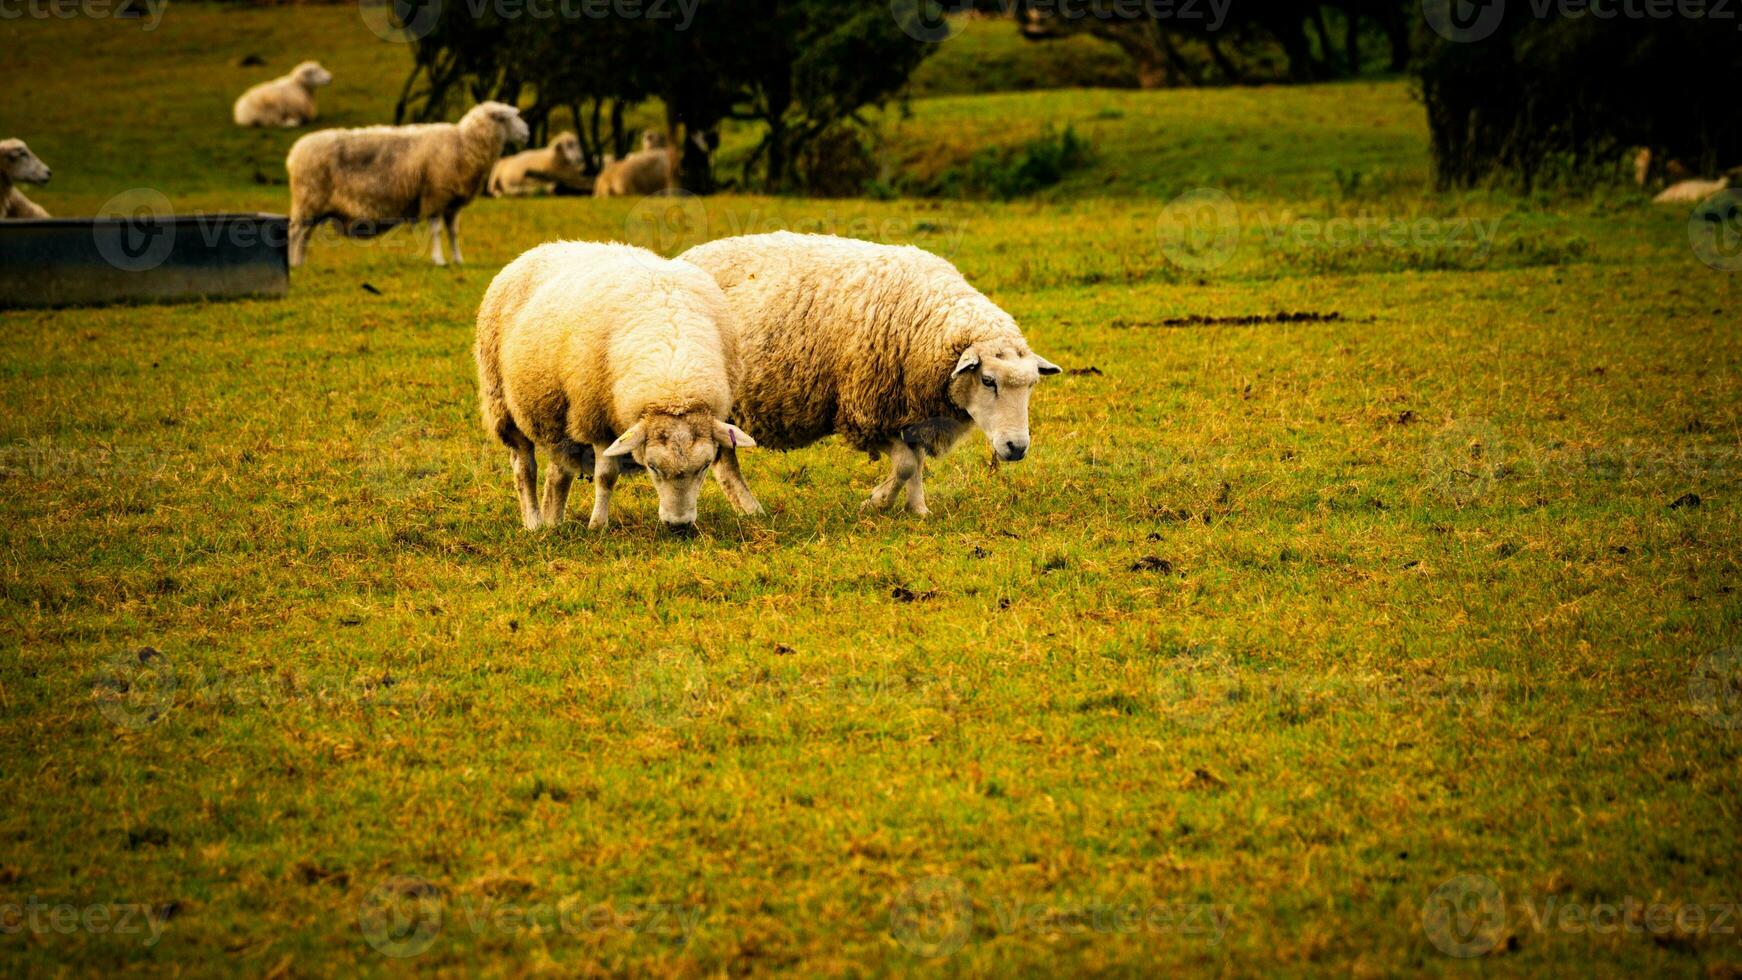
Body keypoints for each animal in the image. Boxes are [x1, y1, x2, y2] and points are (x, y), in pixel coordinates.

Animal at [285, 101, 526, 268]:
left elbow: (453, 232)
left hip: (313, 203)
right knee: (296, 231)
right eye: (507, 118)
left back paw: (300, 261)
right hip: (308, 196)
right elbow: (437, 230)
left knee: (305, 233)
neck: (463, 143)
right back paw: (293, 263)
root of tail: (294, 153)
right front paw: (439, 260)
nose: (527, 133)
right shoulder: (434, 195)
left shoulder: (452, 202)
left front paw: (458, 259)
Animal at [473, 240, 759, 532]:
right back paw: (533, 522)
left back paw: (554, 523)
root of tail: (539, 249)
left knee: (558, 471)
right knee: (524, 469)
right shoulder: (598, 421)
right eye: (652, 467)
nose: (678, 525)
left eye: (704, 467)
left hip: (560, 420)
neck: (674, 378)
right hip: (503, 406)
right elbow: (606, 476)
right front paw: (598, 524)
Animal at [679, 233, 1059, 518]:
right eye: (988, 380)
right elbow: (905, 464)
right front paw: (875, 502)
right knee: (725, 463)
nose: (1017, 448)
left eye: (1031, 386)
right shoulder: (863, 412)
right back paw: (751, 509)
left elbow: (916, 460)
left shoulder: (912, 411)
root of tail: (682, 257)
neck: (925, 322)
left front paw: (917, 509)